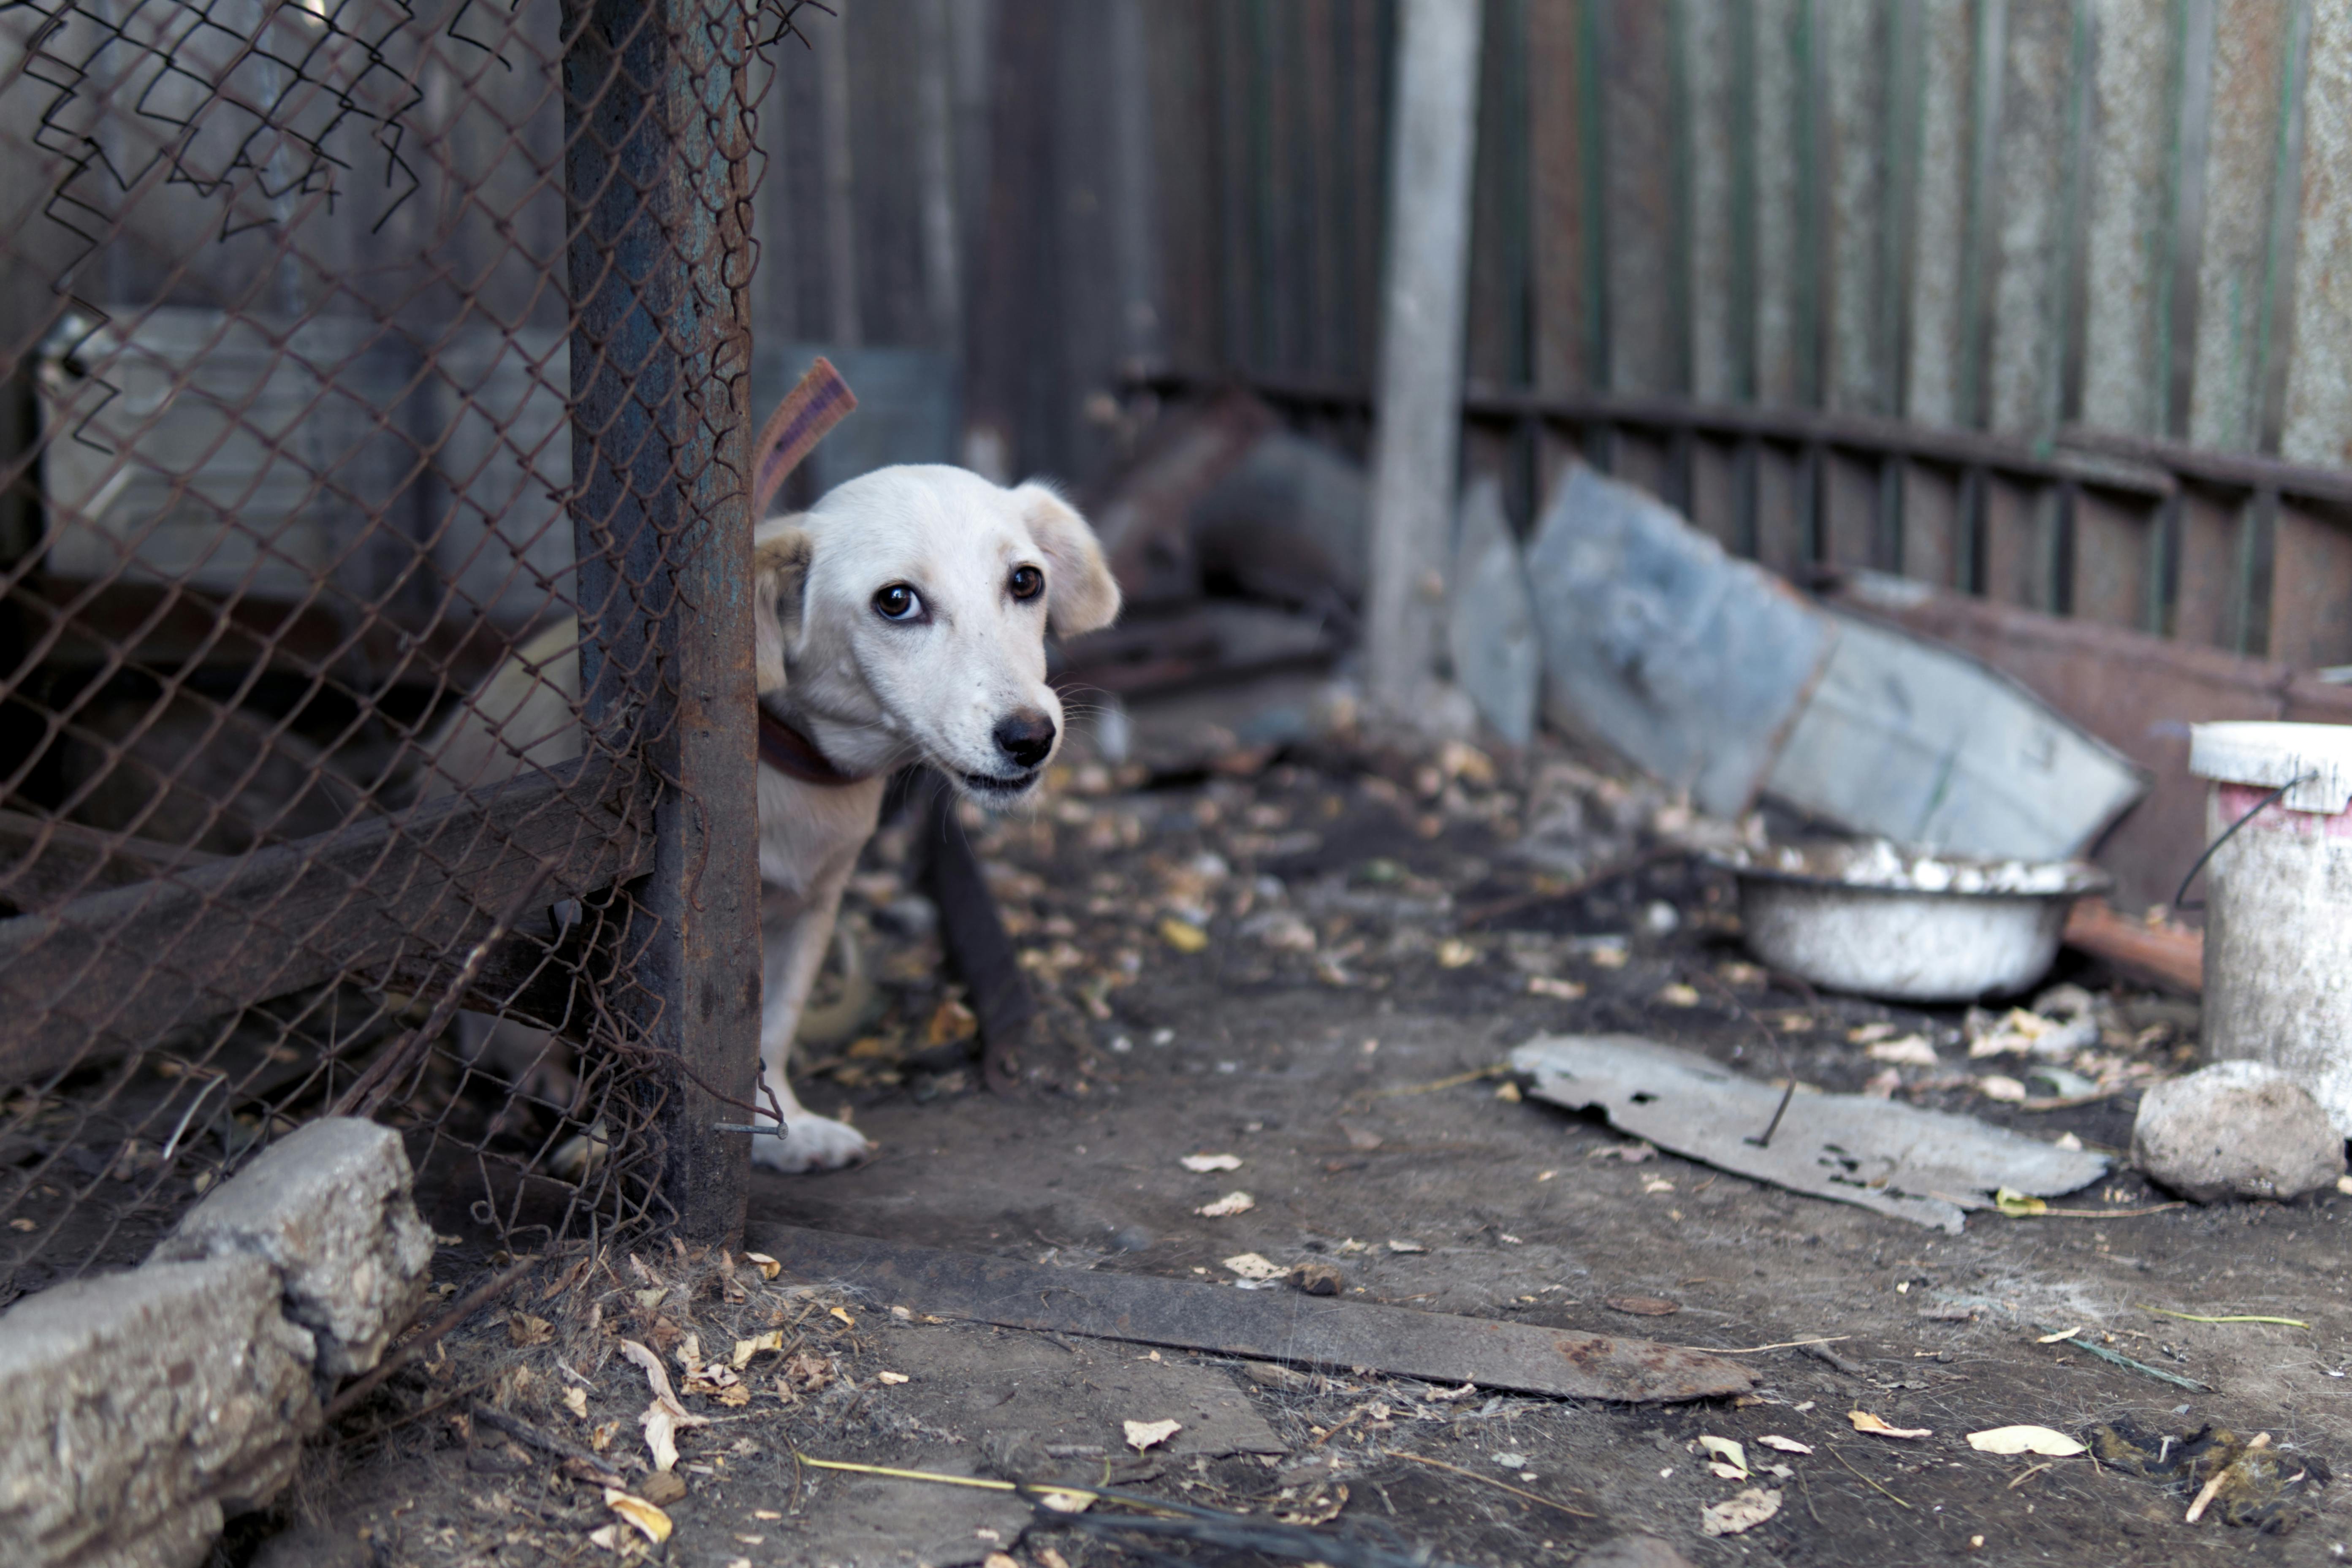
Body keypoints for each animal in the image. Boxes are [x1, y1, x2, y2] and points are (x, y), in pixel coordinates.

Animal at [430, 465, 1119, 1166]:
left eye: (1025, 581)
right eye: (896, 601)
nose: (1031, 737)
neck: (789, 777)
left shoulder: (808, 912)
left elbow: (773, 1028)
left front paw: (782, 1130)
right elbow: (620, 1047)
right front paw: (607, 1148)